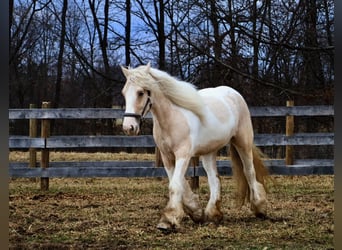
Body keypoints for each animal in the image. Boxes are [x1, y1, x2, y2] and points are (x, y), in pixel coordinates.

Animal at [121, 63, 268, 232]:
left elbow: (175, 185)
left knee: (249, 172)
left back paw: (259, 207)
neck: (173, 117)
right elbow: (181, 185)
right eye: (124, 93)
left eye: (140, 93)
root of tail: (235, 93)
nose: (128, 127)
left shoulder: (183, 155)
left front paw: (168, 220)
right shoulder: (167, 157)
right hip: (209, 152)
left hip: (242, 142)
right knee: (214, 179)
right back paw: (213, 214)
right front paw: (196, 212)